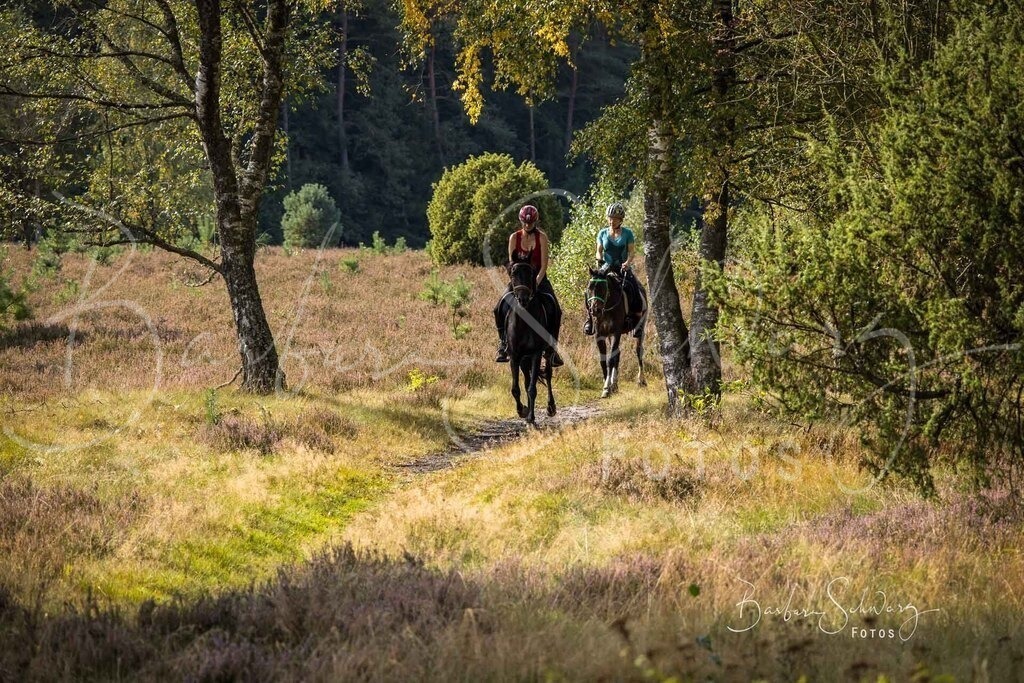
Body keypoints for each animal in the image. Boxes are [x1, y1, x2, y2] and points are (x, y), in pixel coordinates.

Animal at [504, 259, 558, 424]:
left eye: (531, 274)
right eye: (513, 274)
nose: (523, 299)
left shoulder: (536, 354)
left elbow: (532, 388)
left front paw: (531, 417)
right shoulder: (515, 356)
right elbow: (516, 388)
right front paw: (523, 410)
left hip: (548, 351)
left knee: (547, 374)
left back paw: (551, 407)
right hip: (523, 359)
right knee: (527, 380)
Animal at [586, 267, 648, 398]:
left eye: (603, 288)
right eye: (589, 288)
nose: (595, 310)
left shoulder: (616, 333)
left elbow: (610, 360)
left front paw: (606, 387)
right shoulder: (599, 335)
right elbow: (603, 360)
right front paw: (607, 386)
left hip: (641, 326)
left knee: (638, 351)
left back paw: (641, 380)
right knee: (617, 354)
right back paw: (615, 385)